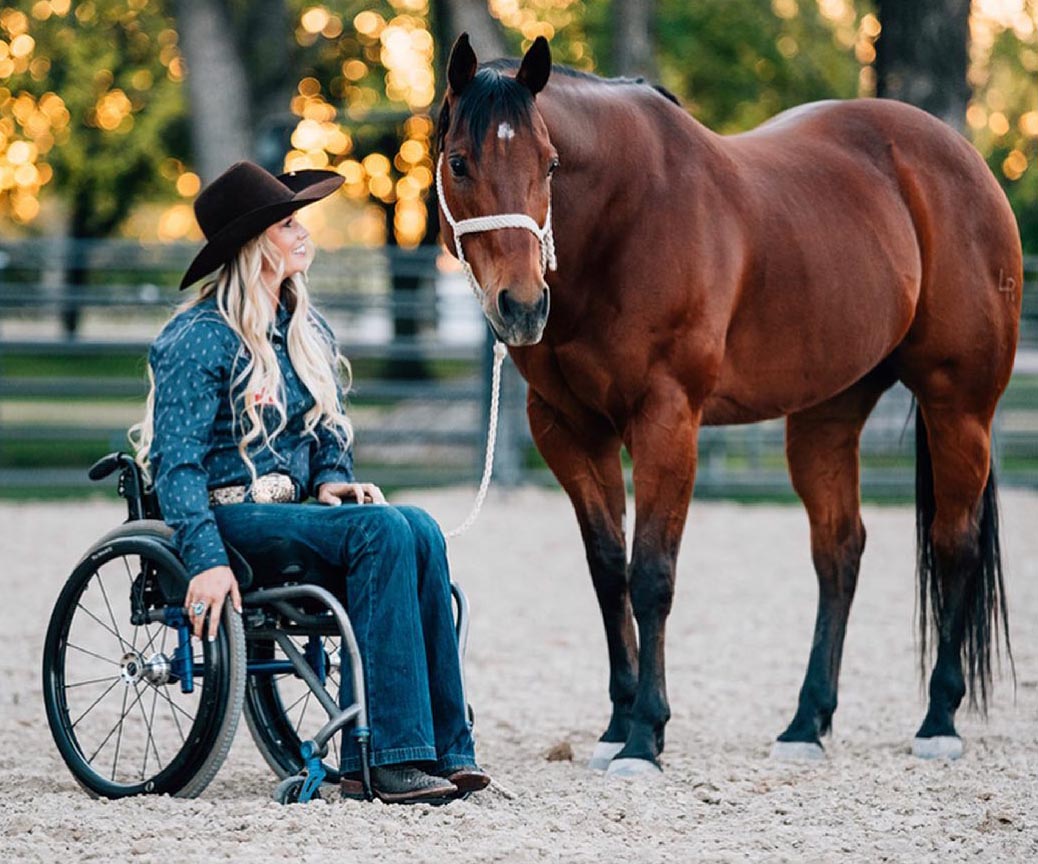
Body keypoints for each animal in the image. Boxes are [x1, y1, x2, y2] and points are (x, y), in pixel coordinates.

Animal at [435, 35, 1021, 776]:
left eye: (550, 164)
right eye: (459, 162)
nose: (521, 305)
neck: (621, 218)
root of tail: (961, 159)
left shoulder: (667, 421)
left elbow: (651, 574)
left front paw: (644, 736)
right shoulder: (569, 431)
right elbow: (608, 572)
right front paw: (617, 723)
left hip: (959, 407)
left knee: (954, 545)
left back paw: (939, 721)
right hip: (826, 415)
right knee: (839, 551)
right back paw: (805, 724)